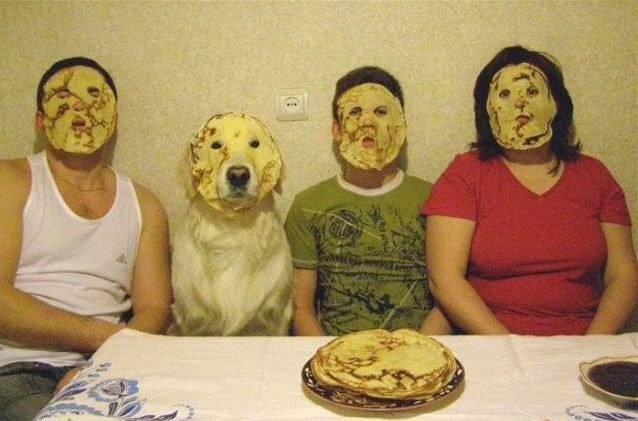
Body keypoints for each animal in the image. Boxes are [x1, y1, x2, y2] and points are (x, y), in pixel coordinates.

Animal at [170, 112, 292, 336]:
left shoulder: (275, 319)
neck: (234, 227)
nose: (238, 175)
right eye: (216, 145)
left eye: (255, 143)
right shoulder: (194, 323)